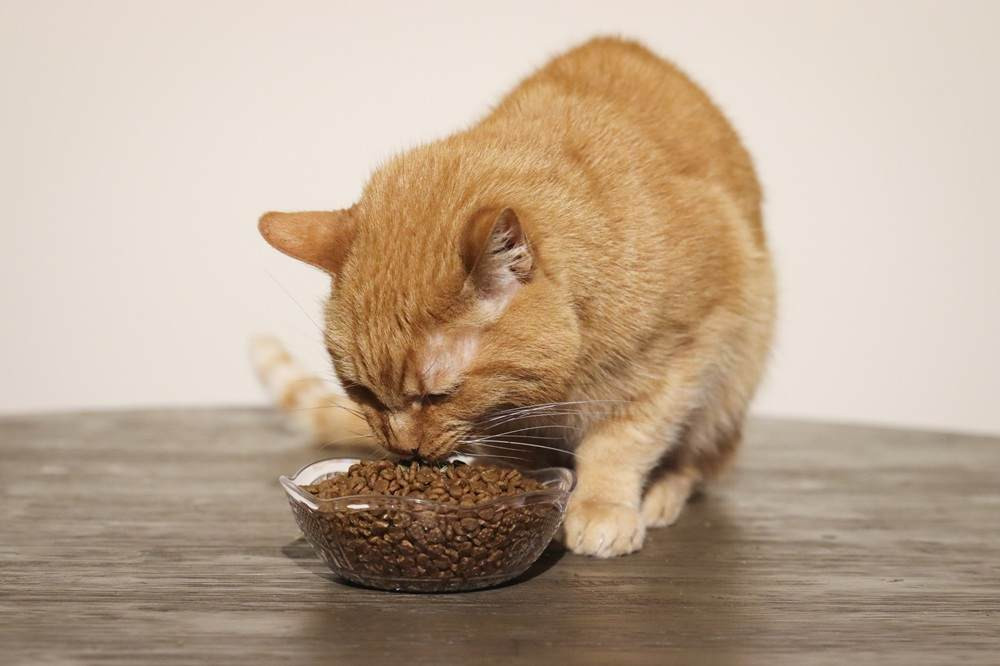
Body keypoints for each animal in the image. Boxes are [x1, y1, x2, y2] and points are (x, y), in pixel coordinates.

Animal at [254, 36, 776, 556]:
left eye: (437, 395)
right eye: (359, 391)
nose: (405, 451)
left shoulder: (680, 358)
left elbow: (621, 443)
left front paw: (601, 505)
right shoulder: (512, 426)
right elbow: (523, 455)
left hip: (734, 373)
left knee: (700, 461)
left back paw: (664, 492)